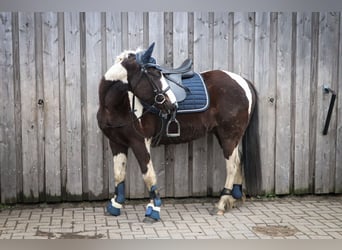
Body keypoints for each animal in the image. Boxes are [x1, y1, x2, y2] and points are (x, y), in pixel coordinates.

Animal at [96, 43, 260, 223]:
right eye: (153, 75)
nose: (173, 105)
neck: (118, 105)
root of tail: (243, 81)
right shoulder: (116, 142)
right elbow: (119, 174)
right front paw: (115, 206)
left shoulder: (139, 142)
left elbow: (149, 175)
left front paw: (153, 210)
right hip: (228, 136)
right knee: (239, 160)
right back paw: (234, 199)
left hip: (229, 136)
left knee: (232, 165)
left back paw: (222, 203)